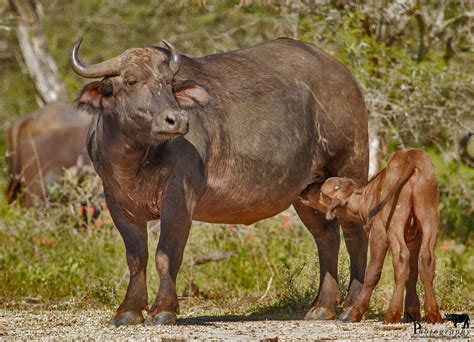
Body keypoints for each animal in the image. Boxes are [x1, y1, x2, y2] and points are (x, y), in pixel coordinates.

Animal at [70, 37, 368, 326]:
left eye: (168, 82)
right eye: (131, 81)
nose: (176, 119)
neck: (136, 159)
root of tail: (345, 77)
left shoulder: (180, 198)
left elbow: (166, 254)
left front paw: (163, 310)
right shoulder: (117, 203)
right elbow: (136, 258)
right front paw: (128, 311)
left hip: (351, 168)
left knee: (355, 234)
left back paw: (352, 306)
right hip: (306, 191)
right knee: (326, 237)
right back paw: (323, 306)